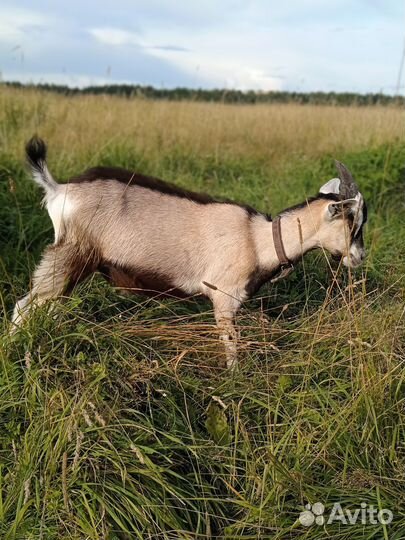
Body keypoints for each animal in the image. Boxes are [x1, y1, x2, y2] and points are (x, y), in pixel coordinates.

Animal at [11, 137, 366, 370]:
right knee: (25, 307)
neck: (257, 238)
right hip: (71, 255)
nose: (359, 257)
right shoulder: (224, 299)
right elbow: (231, 348)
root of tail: (59, 189)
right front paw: (235, 381)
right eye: (353, 220)